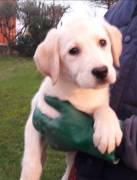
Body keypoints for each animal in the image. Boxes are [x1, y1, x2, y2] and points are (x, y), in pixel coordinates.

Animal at [20, 15, 123, 180]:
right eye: (73, 51)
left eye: (103, 42)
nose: (101, 71)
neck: (78, 91)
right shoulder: (35, 121)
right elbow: (32, 160)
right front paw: (29, 174)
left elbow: (103, 108)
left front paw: (108, 131)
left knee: (70, 167)